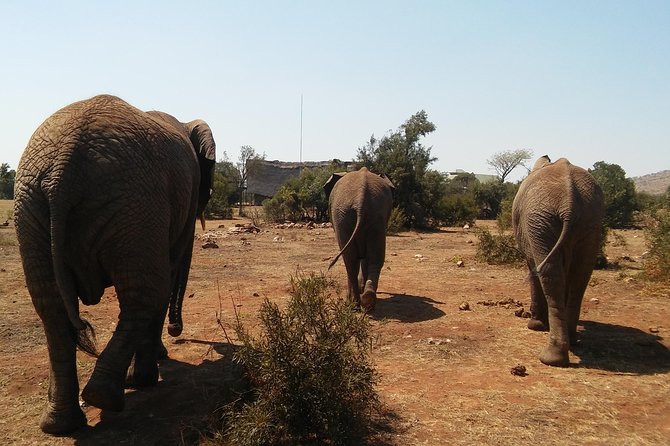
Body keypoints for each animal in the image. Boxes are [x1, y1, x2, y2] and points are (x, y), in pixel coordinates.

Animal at [13, 94, 216, 434]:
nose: (177, 330)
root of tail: (64, 168)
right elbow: (169, 271)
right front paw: (158, 360)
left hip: (36, 207)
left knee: (50, 304)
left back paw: (62, 422)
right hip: (134, 204)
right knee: (147, 293)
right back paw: (122, 390)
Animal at [324, 167, 395, 312]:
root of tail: (361, 200)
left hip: (343, 216)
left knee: (350, 261)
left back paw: (353, 304)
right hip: (373, 216)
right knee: (374, 258)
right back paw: (367, 301)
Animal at [512, 155, 604, 367]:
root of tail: (570, 202)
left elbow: (533, 269)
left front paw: (535, 326)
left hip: (541, 221)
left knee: (550, 275)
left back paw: (551, 357)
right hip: (589, 221)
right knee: (580, 275)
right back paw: (572, 340)